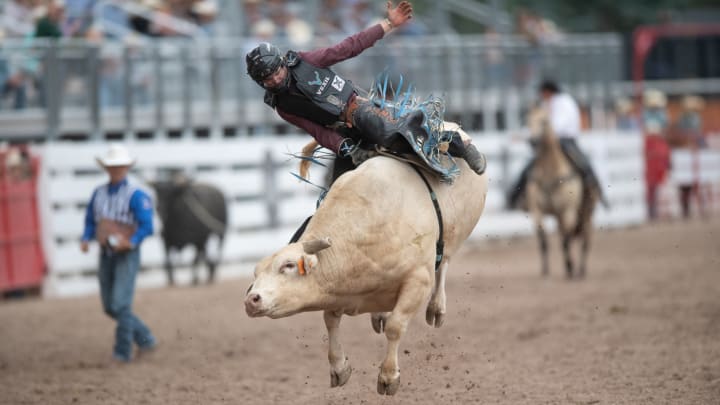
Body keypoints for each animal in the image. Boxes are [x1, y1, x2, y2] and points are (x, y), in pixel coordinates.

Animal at [245, 152, 486, 394]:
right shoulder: (339, 293)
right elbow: (330, 321)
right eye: (256, 273)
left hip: (453, 238)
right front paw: (339, 368)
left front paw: (388, 377)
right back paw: (379, 315)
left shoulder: (419, 280)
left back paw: (436, 308)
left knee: (444, 262)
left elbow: (396, 326)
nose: (251, 299)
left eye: (288, 265)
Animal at [524, 106, 600, 278]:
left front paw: (570, 267)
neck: (550, 173)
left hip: (587, 214)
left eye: (544, 121)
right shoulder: (537, 211)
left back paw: (580, 270)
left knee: (585, 241)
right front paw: (545, 270)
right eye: (528, 120)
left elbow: (566, 241)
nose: (532, 141)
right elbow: (544, 240)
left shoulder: (568, 212)